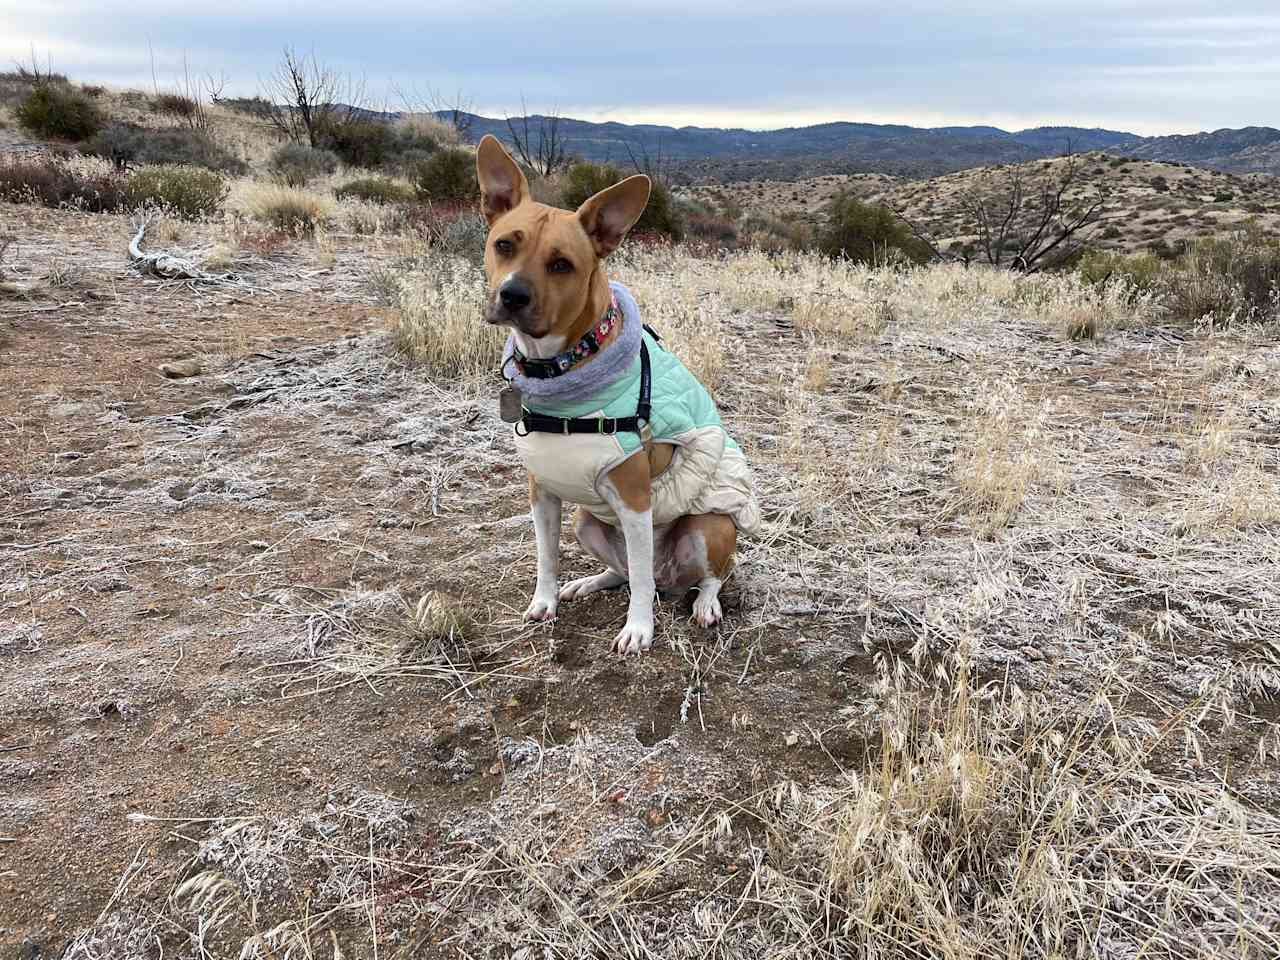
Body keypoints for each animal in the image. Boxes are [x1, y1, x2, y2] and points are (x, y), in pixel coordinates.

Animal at [478, 135, 757, 660]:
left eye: (562, 264)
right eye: (504, 244)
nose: (513, 295)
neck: (562, 367)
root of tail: (674, 579)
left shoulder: (635, 502)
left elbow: (642, 584)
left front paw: (639, 630)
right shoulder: (543, 492)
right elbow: (546, 557)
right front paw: (545, 600)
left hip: (710, 526)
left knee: (694, 576)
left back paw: (704, 604)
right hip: (587, 520)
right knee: (625, 571)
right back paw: (588, 582)